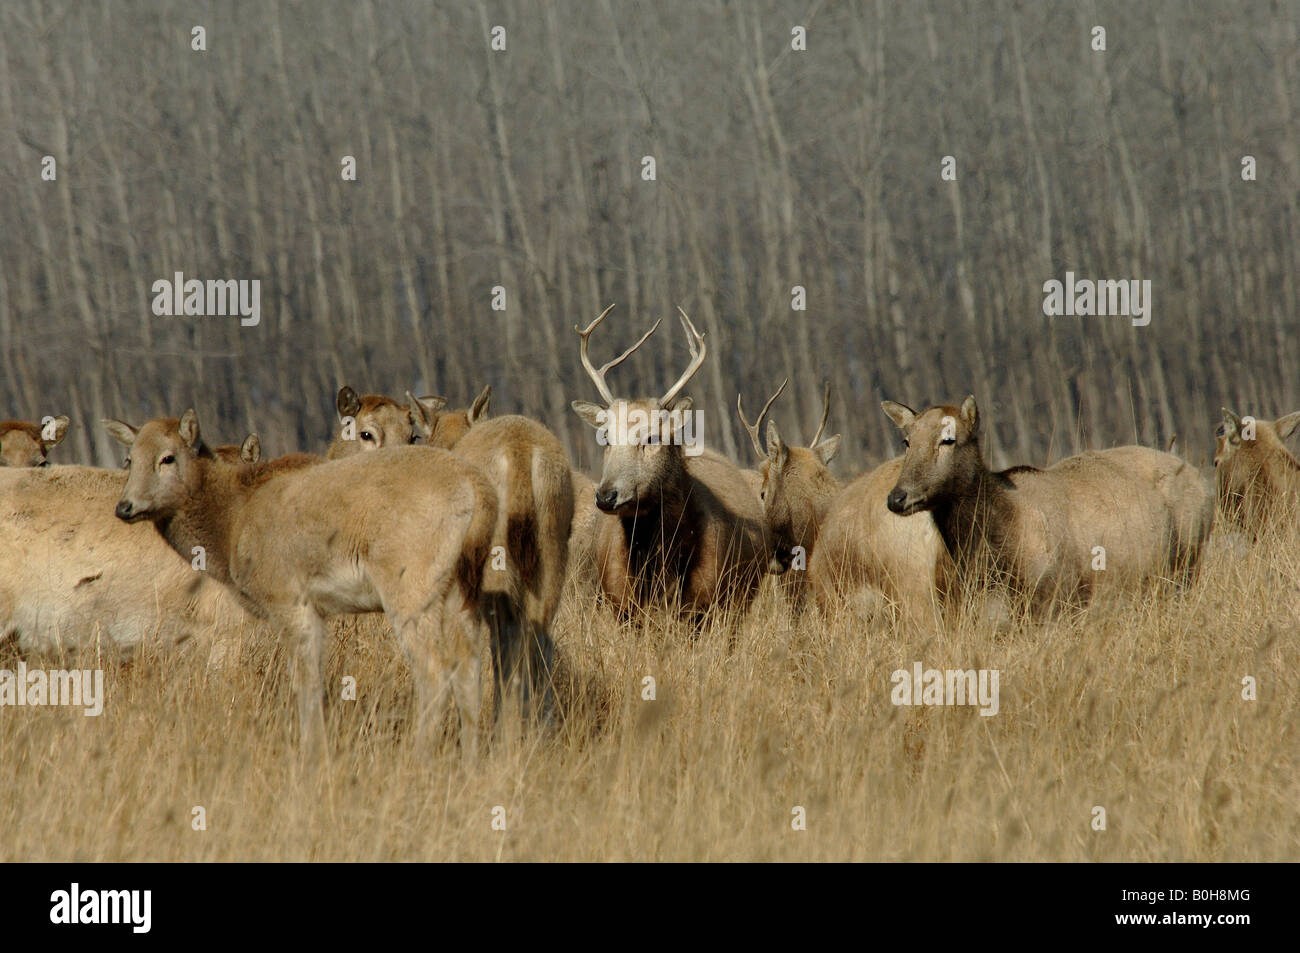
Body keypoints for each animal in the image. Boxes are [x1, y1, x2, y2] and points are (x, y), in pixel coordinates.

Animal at [101, 408, 493, 759]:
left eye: (167, 458)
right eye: (129, 458)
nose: (124, 507)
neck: (231, 525)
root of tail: (477, 488)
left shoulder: (288, 598)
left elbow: (304, 683)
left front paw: (312, 754)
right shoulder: (317, 610)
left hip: (411, 586)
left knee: (434, 670)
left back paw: (419, 756)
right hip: (462, 590)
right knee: (469, 667)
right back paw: (471, 759)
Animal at [408, 395, 572, 722]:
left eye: (420, 436)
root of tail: (520, 452)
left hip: (496, 565)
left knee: (507, 646)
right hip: (552, 550)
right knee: (540, 638)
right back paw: (541, 722)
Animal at [878, 395, 1211, 613]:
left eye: (948, 439)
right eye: (907, 441)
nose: (897, 497)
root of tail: (1201, 480)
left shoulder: (1057, 595)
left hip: (1188, 561)